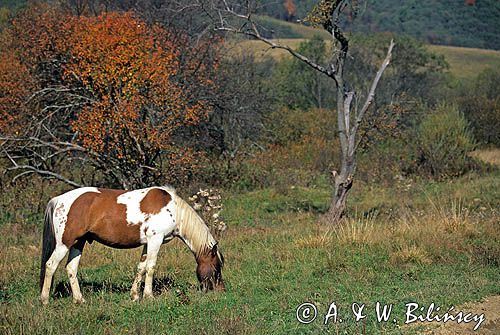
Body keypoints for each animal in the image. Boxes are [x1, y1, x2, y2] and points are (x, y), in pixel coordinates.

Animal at [39, 185, 225, 306]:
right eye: (216, 268)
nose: (221, 290)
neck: (174, 210)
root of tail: (58, 200)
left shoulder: (148, 244)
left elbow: (141, 268)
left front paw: (135, 295)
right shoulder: (155, 240)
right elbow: (150, 267)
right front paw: (149, 296)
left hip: (78, 243)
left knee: (71, 268)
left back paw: (79, 300)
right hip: (64, 244)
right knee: (50, 265)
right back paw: (45, 300)